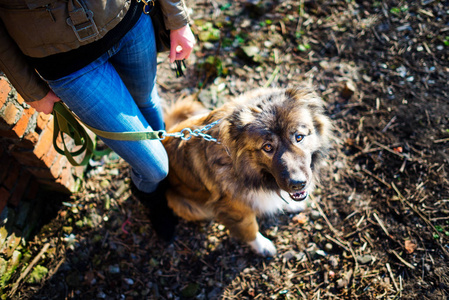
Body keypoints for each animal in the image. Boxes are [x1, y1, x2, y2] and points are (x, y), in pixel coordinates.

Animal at [163, 86, 330, 255]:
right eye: (267, 147)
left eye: (299, 137)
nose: (297, 184)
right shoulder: (235, 207)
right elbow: (249, 227)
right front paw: (263, 246)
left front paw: (290, 204)